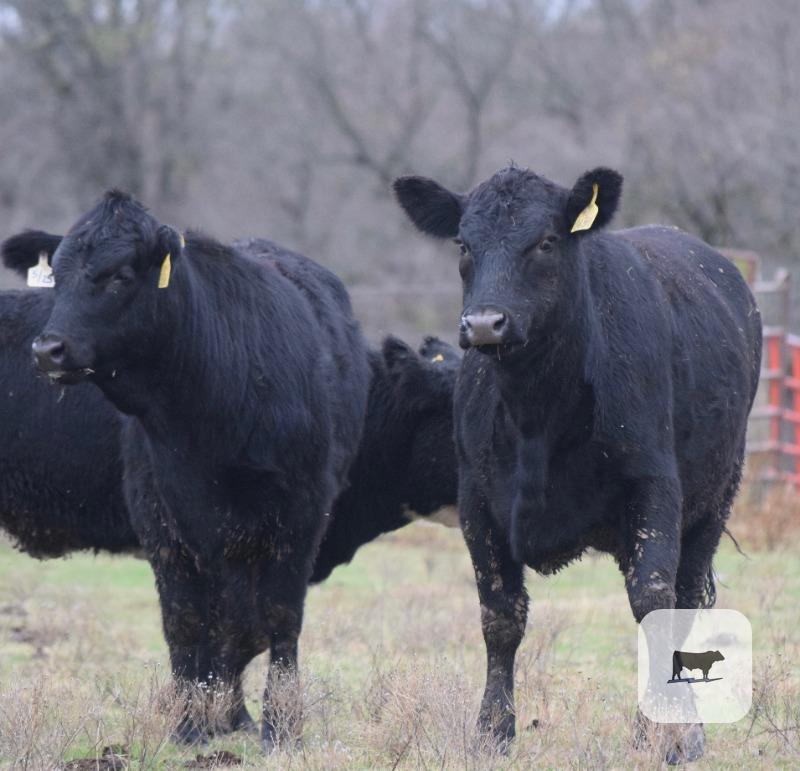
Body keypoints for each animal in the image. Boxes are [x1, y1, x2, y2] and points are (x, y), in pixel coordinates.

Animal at [29, 191, 372, 752]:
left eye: (120, 275)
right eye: (56, 276)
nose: (47, 350)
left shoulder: (300, 518)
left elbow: (278, 617)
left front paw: (281, 727)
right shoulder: (163, 523)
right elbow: (186, 621)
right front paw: (190, 726)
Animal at [393, 164, 761, 764]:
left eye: (546, 241)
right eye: (463, 244)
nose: (485, 323)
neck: (538, 413)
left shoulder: (655, 488)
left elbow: (652, 602)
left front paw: (666, 735)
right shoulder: (477, 503)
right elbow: (500, 616)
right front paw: (492, 732)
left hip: (715, 498)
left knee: (683, 599)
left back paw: (680, 732)